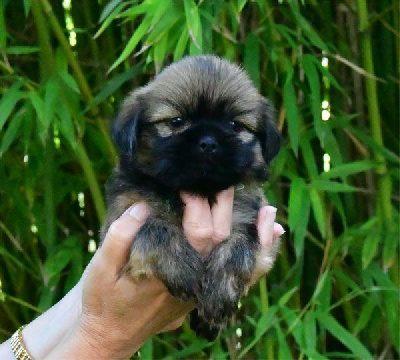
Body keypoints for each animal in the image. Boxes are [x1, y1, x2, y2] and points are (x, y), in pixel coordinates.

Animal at [100, 54, 282, 338]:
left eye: (234, 125)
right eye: (176, 122)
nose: (208, 142)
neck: (200, 192)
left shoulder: (252, 216)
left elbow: (240, 243)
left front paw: (219, 290)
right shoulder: (126, 210)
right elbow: (156, 228)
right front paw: (183, 269)